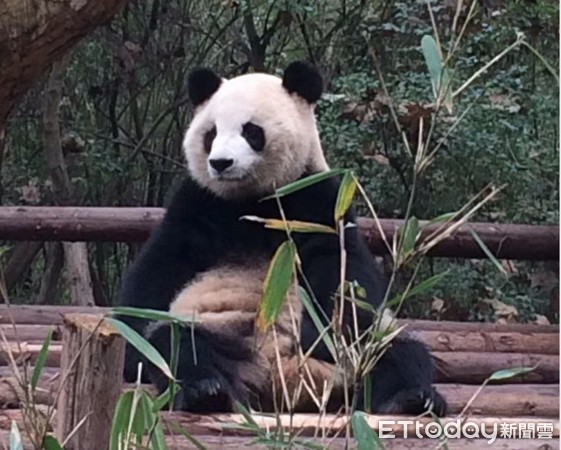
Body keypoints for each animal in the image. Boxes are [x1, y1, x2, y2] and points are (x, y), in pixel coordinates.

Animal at [118, 61, 446, 416]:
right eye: (211, 133)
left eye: (251, 131)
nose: (220, 163)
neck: (254, 201)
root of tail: (280, 380)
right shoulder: (199, 203)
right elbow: (158, 272)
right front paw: (132, 351)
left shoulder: (319, 201)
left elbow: (346, 278)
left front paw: (321, 332)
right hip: (218, 331)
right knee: (176, 344)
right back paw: (205, 391)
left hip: (362, 353)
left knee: (394, 351)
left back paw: (411, 399)